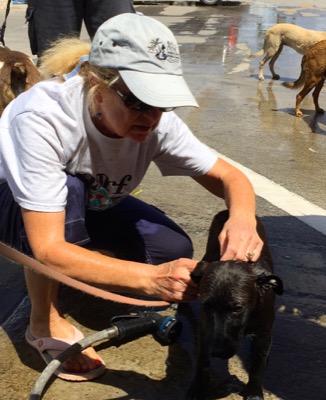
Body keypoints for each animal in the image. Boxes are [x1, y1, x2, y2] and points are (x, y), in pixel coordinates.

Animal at [187, 211, 284, 398]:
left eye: (238, 308)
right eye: (206, 306)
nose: (218, 353)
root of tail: (226, 212)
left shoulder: (264, 332)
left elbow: (258, 364)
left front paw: (254, 392)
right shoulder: (205, 329)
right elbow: (202, 361)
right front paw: (198, 388)